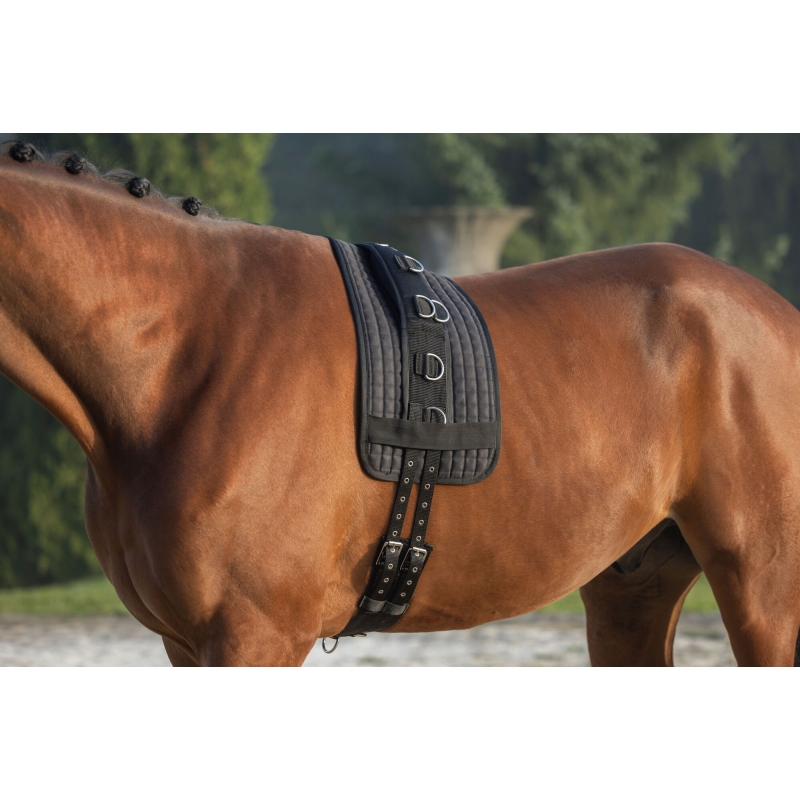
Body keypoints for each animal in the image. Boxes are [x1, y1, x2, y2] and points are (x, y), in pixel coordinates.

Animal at [1, 140, 799, 667]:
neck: (184, 346)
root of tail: (775, 311)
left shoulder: (254, 636)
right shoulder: (182, 642)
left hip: (765, 594)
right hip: (631, 592)